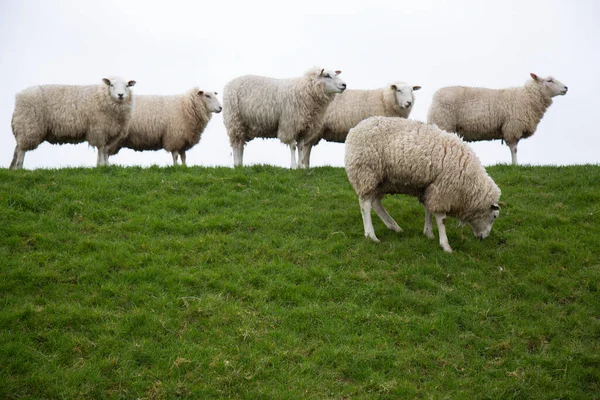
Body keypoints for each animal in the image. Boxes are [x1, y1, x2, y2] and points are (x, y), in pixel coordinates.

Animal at [344, 116, 500, 253]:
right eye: (494, 217)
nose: (484, 238)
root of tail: (353, 130)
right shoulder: (443, 191)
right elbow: (441, 219)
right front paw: (445, 245)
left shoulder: (430, 188)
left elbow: (428, 210)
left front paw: (428, 233)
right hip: (366, 173)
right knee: (365, 205)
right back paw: (371, 235)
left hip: (381, 180)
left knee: (375, 203)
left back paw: (394, 226)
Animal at [426, 72, 568, 165]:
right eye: (549, 80)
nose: (566, 87)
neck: (527, 97)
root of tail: (435, 96)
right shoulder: (512, 128)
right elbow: (514, 149)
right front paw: (515, 165)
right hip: (443, 123)